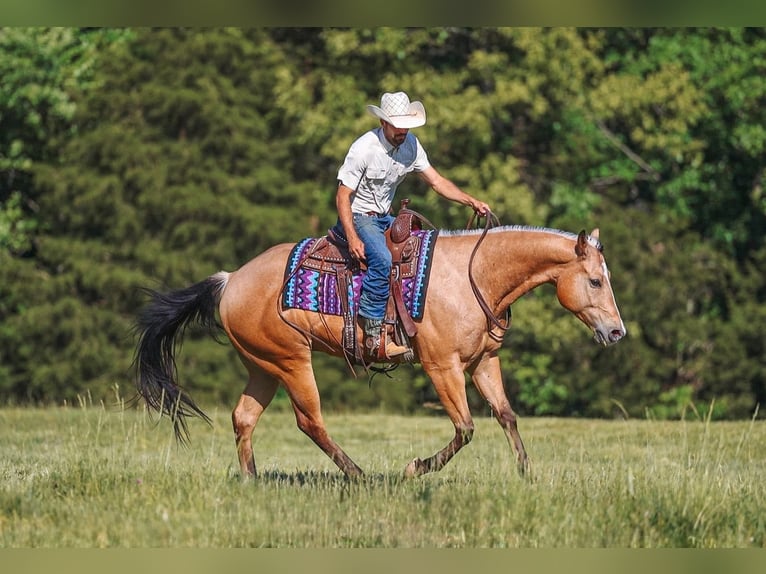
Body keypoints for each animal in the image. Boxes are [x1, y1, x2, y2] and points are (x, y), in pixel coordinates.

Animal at [133, 222, 626, 479]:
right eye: (594, 281)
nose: (617, 331)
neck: (475, 276)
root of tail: (231, 279)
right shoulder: (442, 366)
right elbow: (466, 428)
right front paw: (414, 468)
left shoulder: (483, 363)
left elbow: (506, 415)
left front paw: (526, 474)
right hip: (291, 362)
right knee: (309, 421)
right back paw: (357, 475)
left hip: (263, 367)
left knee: (244, 418)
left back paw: (252, 480)